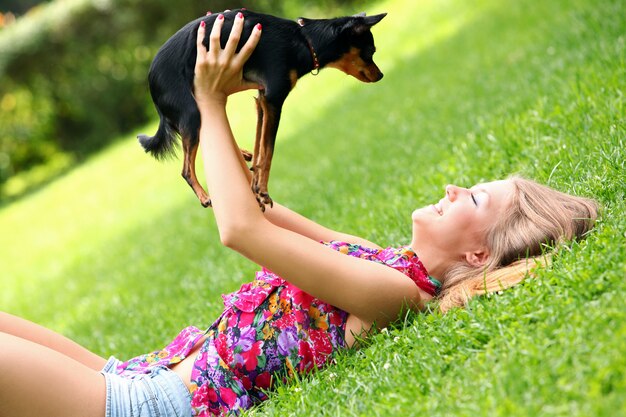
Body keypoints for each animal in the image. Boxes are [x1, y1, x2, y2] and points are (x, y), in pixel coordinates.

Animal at [138, 9, 386, 210]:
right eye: (371, 51)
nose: (381, 75)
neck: (304, 41)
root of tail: (151, 85)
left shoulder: (261, 101)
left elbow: (260, 147)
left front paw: (256, 185)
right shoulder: (274, 100)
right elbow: (269, 150)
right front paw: (263, 190)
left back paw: (242, 153)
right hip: (191, 113)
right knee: (185, 170)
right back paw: (203, 196)